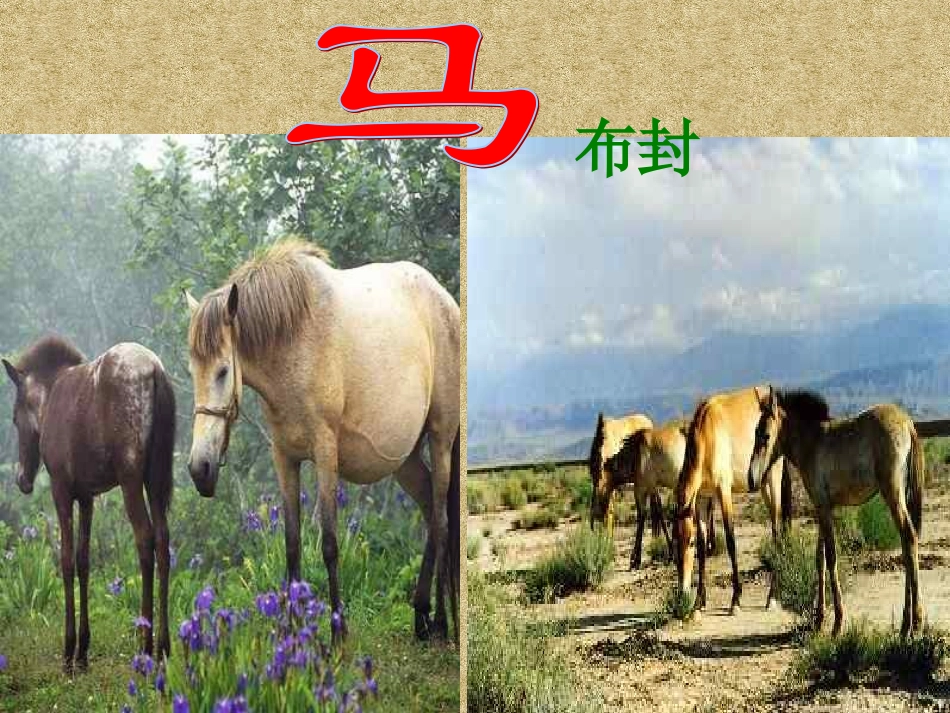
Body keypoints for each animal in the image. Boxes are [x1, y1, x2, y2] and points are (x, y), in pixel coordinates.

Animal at [2, 335, 175, 672]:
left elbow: (67, 561)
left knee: (145, 539)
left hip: (131, 479)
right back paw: (164, 646)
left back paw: (145, 645)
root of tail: (155, 372)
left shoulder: (61, 489)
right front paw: (83, 651)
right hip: (156, 480)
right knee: (163, 541)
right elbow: (84, 562)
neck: (48, 399)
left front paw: (69, 652)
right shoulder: (87, 496)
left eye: (15, 418)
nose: (23, 479)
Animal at [184, 238, 460, 642]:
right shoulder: (284, 457)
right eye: (193, 371)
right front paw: (292, 632)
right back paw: (422, 616)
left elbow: (329, 543)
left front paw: (337, 632)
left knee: (441, 521)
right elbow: (292, 544)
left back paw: (441, 622)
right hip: (405, 458)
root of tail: (447, 302)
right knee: (429, 511)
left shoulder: (326, 453)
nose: (199, 467)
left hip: (441, 439)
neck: (294, 339)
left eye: (222, 371)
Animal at [598, 418, 716, 569]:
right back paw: (709, 547)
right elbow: (657, 513)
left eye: (599, 476)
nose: (600, 507)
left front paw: (636, 559)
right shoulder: (652, 488)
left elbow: (647, 516)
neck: (634, 455)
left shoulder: (645, 488)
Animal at [674, 385, 792, 614]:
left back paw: (772, 597)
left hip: (773, 481)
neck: (706, 433)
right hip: (762, 486)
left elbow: (730, 541)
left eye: (688, 542)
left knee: (776, 530)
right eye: (675, 541)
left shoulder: (724, 491)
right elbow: (704, 546)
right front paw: (699, 602)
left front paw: (735, 600)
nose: (682, 594)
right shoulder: (702, 498)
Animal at [748, 387, 924, 636]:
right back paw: (904, 626)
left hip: (893, 493)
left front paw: (838, 622)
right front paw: (819, 620)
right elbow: (819, 559)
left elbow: (831, 558)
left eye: (765, 435)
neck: (812, 441)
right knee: (907, 545)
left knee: (908, 537)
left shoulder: (822, 507)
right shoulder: (822, 508)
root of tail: (908, 424)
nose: (751, 479)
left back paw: (915, 623)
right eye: (755, 432)